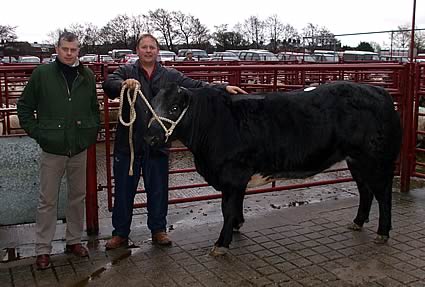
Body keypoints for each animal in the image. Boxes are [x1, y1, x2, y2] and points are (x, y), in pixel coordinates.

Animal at [145, 81, 400, 256]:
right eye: (151, 106)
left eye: (174, 107)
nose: (150, 138)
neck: (214, 122)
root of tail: (379, 91)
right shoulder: (238, 178)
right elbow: (236, 205)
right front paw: (237, 225)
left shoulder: (232, 175)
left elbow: (227, 208)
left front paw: (221, 244)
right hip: (356, 161)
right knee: (365, 191)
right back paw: (357, 222)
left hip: (376, 161)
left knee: (383, 195)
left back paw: (382, 232)